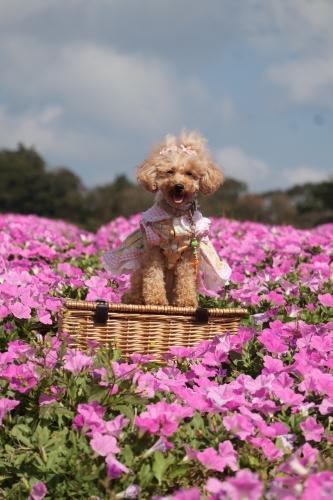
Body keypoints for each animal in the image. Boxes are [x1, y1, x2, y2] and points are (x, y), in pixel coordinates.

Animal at [104, 131, 231, 306]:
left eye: (190, 173)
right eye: (170, 171)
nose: (179, 186)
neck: (174, 213)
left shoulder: (188, 252)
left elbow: (185, 279)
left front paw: (187, 301)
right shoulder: (153, 248)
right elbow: (153, 276)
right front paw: (156, 300)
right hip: (139, 273)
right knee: (136, 288)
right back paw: (133, 299)